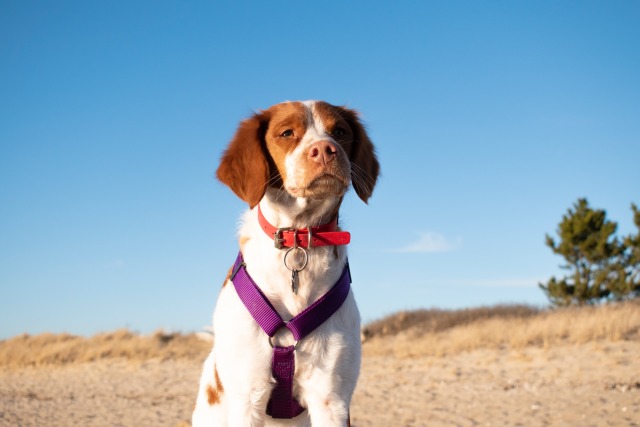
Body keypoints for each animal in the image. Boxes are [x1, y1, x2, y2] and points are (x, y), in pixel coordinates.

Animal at [192, 101, 378, 427]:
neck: (298, 239)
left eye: (340, 132)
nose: (326, 149)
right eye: (287, 133)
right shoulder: (247, 395)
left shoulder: (331, 398)